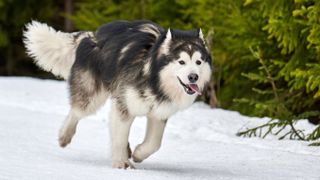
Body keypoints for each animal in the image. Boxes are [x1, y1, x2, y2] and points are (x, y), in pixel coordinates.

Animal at [23, 20, 212, 169]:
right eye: (181, 62)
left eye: (198, 62)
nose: (193, 77)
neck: (152, 78)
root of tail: (92, 35)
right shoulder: (124, 106)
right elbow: (120, 137)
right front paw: (121, 164)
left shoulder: (159, 113)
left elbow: (154, 143)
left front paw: (138, 154)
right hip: (92, 96)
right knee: (77, 111)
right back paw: (65, 135)